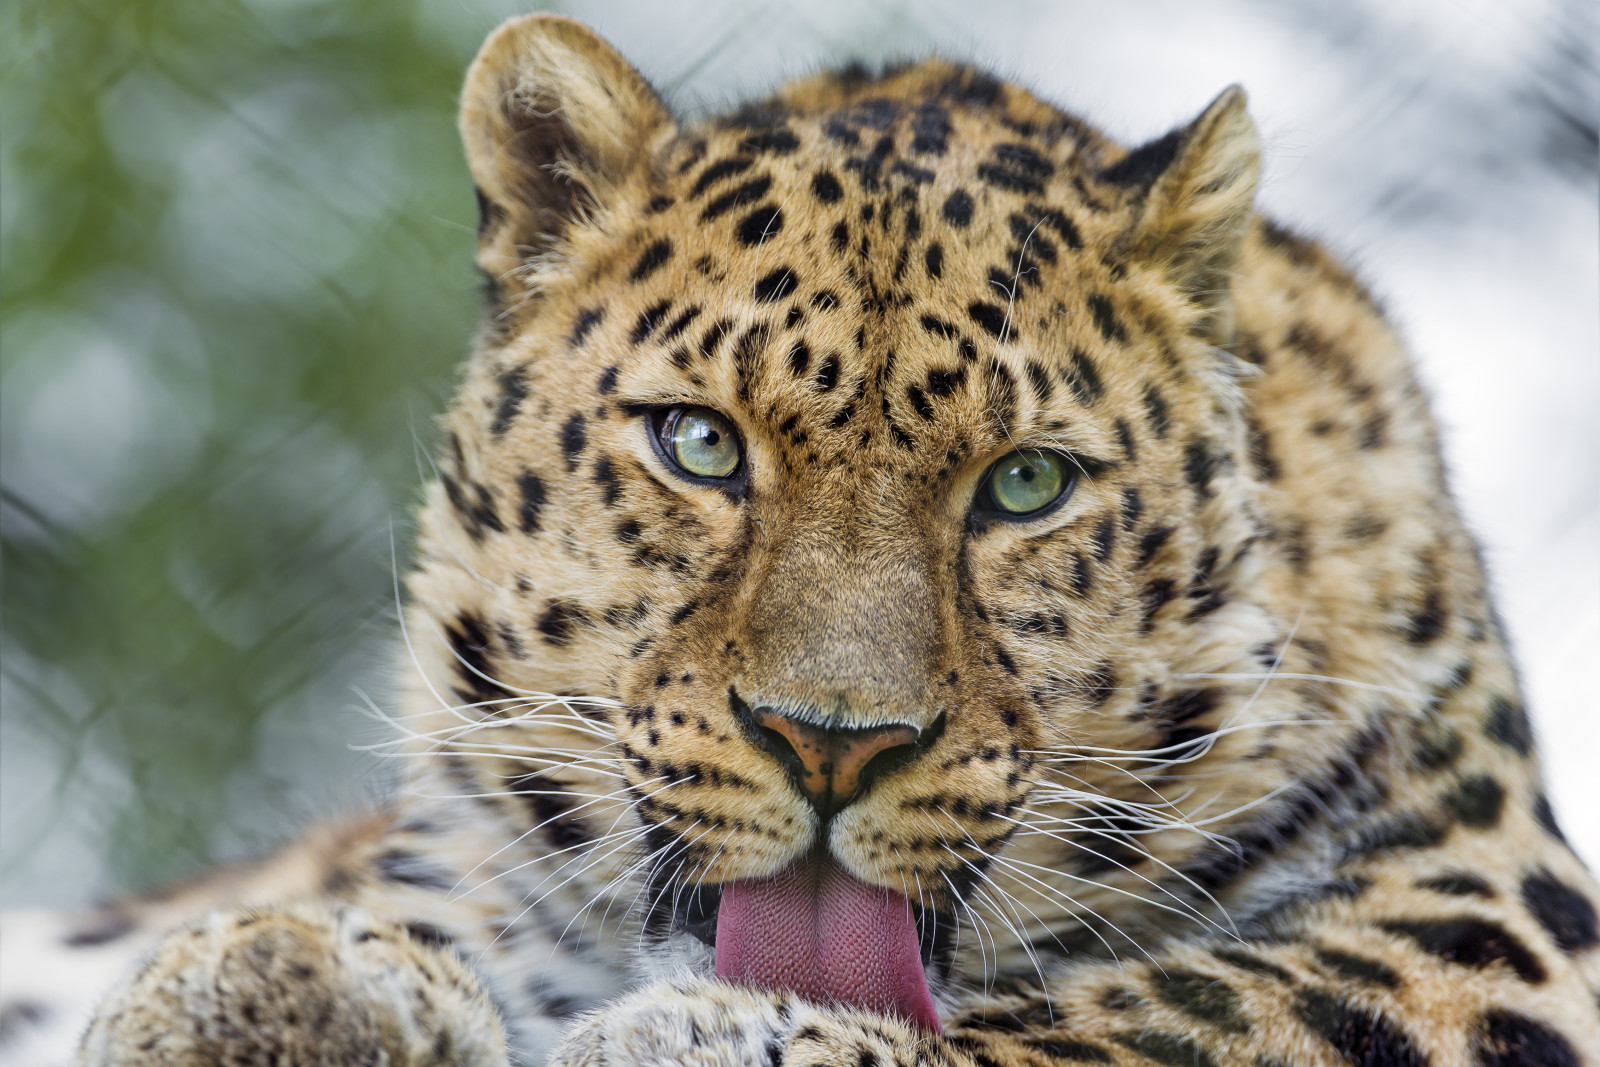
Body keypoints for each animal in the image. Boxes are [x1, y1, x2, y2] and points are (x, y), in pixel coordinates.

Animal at [21, 14, 1600, 1067]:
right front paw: (288, 980)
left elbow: (1191, 1008)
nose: (831, 742)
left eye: (1025, 483)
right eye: (700, 443)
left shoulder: (1482, 906)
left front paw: (719, 1036)